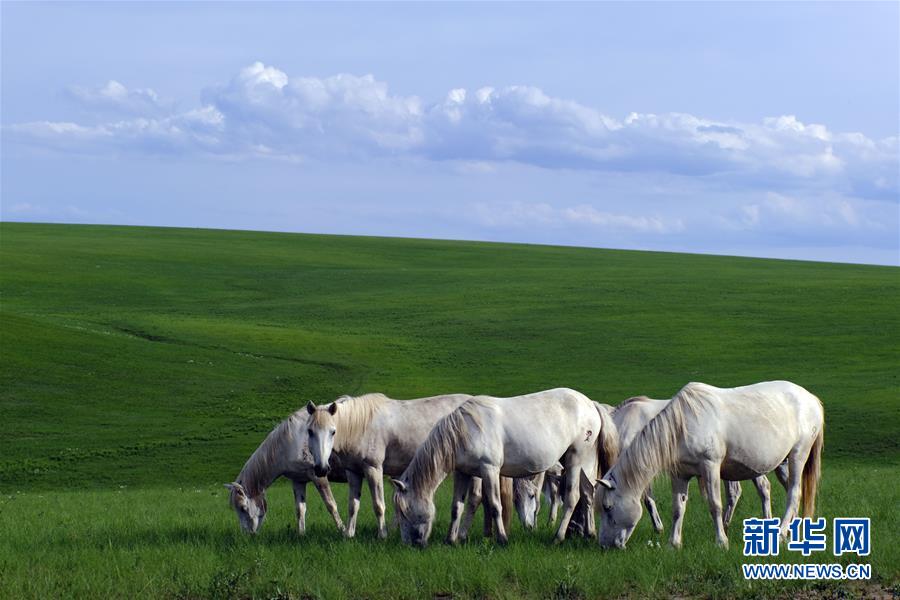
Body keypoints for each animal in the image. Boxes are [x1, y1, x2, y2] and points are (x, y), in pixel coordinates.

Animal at [227, 408, 346, 536]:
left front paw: (344, 531)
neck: (291, 442)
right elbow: (300, 510)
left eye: (243, 508)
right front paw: (301, 534)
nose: (246, 534)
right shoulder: (298, 480)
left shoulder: (319, 476)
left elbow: (331, 505)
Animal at [304, 394, 478, 540]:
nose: (321, 468)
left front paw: (382, 535)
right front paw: (349, 534)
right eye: (310, 431)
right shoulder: (353, 472)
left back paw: (462, 535)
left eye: (333, 432)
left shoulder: (373, 469)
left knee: (474, 499)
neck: (360, 426)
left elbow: (378, 505)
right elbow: (353, 505)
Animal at [394, 390, 620, 548]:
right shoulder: (463, 473)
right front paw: (451, 540)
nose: (410, 544)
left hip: (576, 459)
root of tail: (591, 404)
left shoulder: (490, 470)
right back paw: (589, 533)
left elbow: (495, 505)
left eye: (405, 511)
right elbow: (456, 506)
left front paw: (502, 539)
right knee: (588, 493)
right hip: (584, 463)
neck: (466, 430)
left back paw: (558, 537)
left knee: (572, 498)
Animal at [596, 384, 828, 548]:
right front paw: (673, 544)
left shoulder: (710, 467)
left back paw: (780, 533)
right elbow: (678, 508)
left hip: (798, 455)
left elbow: (715, 504)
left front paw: (721, 542)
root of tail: (812, 399)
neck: (682, 425)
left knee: (794, 493)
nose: (604, 545)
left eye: (607, 507)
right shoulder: (679, 474)